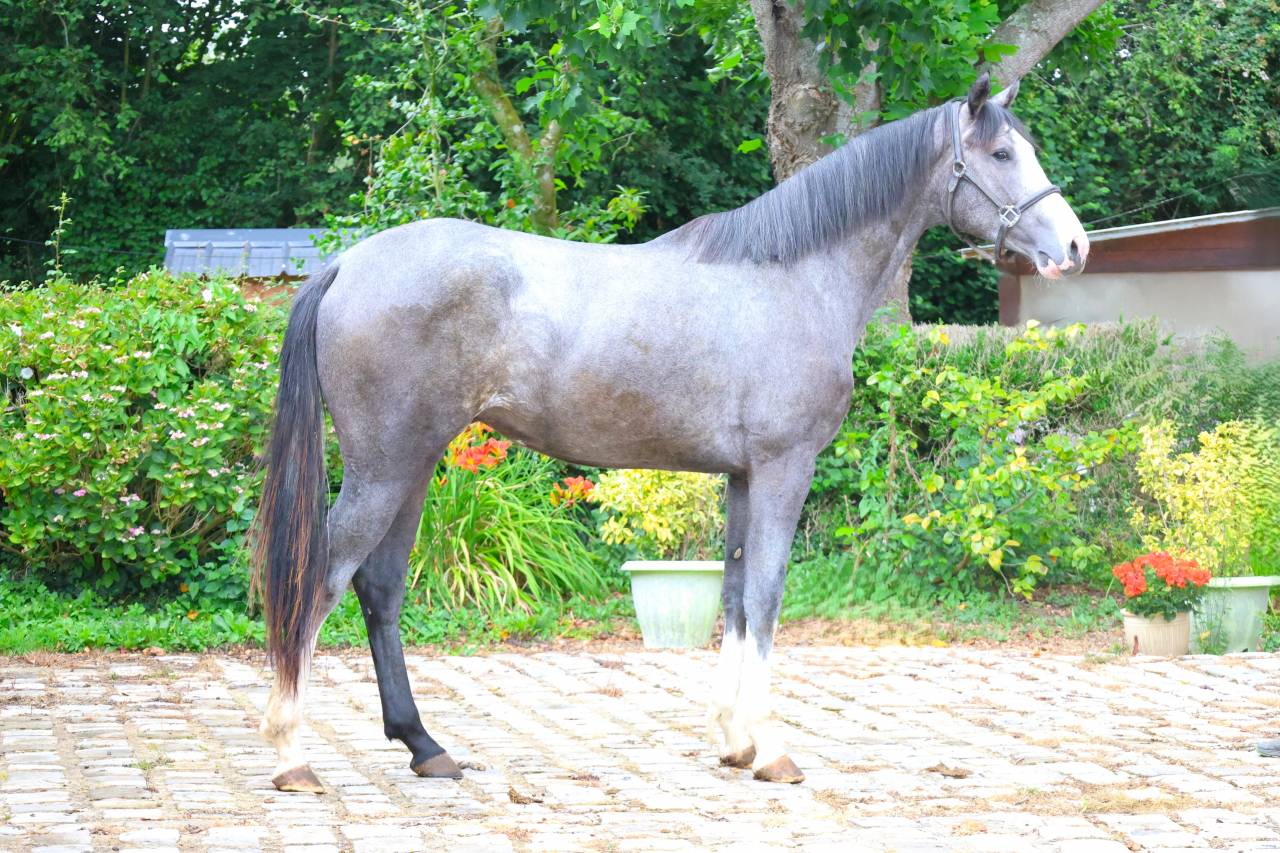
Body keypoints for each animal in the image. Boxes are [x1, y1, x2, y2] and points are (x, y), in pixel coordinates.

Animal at [251, 73, 1089, 793]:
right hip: (386, 466)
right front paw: (772, 747)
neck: (795, 276)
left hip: (416, 462)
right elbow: (769, 594)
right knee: (321, 578)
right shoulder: (784, 469)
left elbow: (737, 596)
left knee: (379, 586)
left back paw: (425, 744)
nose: (1076, 247)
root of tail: (348, 265)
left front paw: (735, 739)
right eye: (1003, 154)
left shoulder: (743, 476)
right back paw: (291, 754)